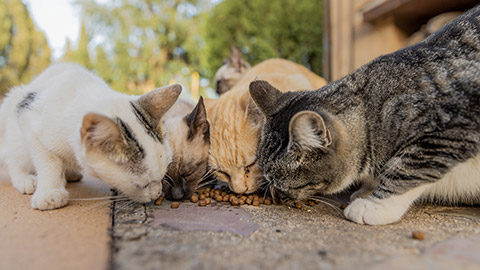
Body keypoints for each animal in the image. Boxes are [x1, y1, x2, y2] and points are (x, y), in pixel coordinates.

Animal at [0, 63, 180, 211]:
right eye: (142, 184)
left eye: (164, 174)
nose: (157, 194)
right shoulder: (27, 117)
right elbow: (48, 161)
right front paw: (50, 192)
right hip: (10, 113)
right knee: (13, 157)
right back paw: (25, 179)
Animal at [249, 6, 480, 226]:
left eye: (282, 184)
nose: (277, 196)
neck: (373, 114)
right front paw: (367, 191)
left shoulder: (450, 126)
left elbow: (406, 167)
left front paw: (375, 205)